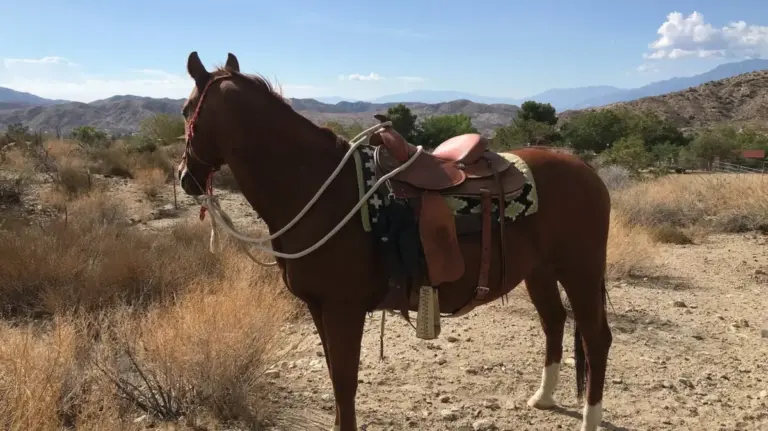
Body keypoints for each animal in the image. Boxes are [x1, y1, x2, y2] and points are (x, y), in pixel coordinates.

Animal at [177, 51, 613, 431]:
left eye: (185, 110)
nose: (185, 177)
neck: (322, 189)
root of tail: (589, 172)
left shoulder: (343, 310)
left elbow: (344, 385)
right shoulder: (318, 308)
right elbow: (335, 379)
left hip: (581, 269)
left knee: (596, 338)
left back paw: (589, 421)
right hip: (539, 271)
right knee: (554, 322)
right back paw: (543, 398)